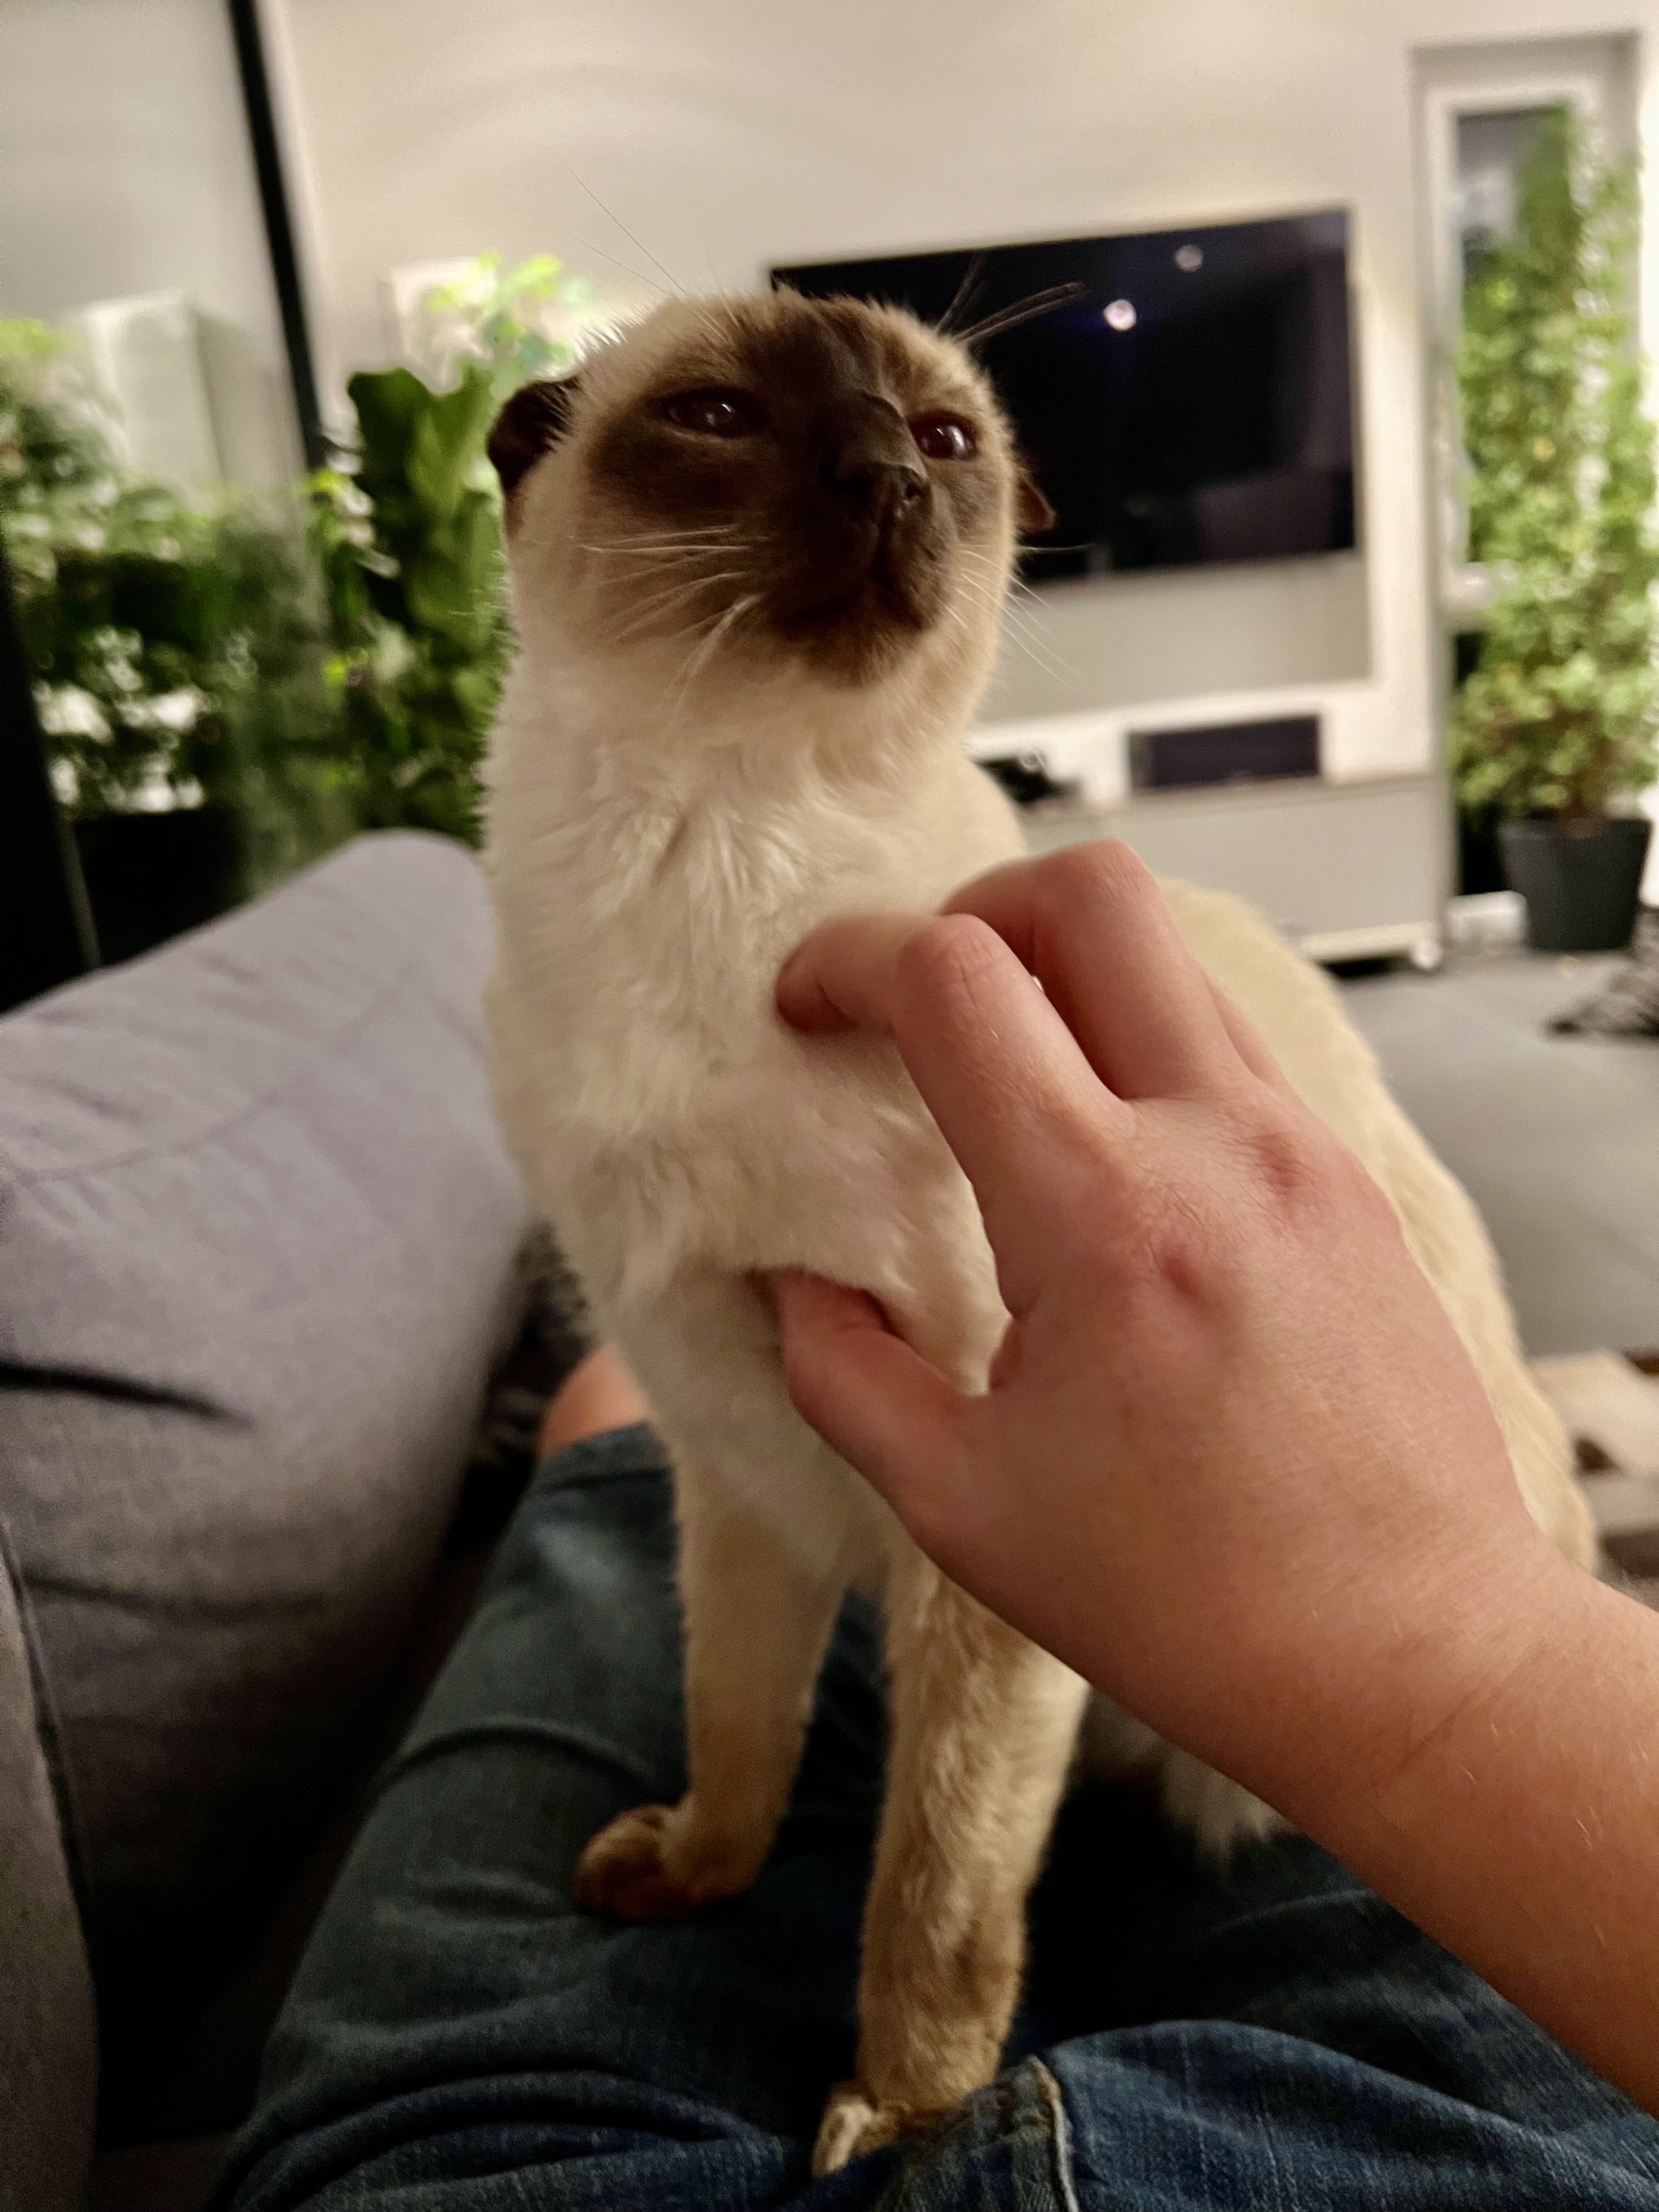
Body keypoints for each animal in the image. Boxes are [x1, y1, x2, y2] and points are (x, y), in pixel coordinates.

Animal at [484, 294, 1601, 2176]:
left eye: (942, 442)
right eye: (717, 418)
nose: (878, 476)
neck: (714, 855)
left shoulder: (972, 1558)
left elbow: (929, 1893)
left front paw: (900, 2118)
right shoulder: (732, 1463)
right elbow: (740, 1731)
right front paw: (693, 1878)